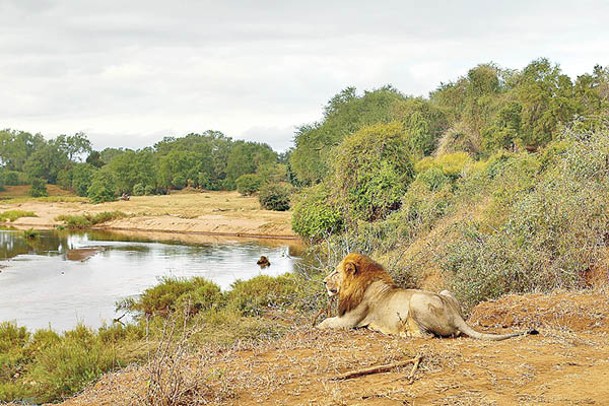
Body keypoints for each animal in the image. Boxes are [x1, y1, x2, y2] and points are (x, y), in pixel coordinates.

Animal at [316, 254, 540, 340]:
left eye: (335, 272)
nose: (324, 282)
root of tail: (455, 314)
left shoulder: (350, 320)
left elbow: (325, 322)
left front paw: (316, 326)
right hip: (445, 291)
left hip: (416, 300)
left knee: (428, 335)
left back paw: (403, 333)